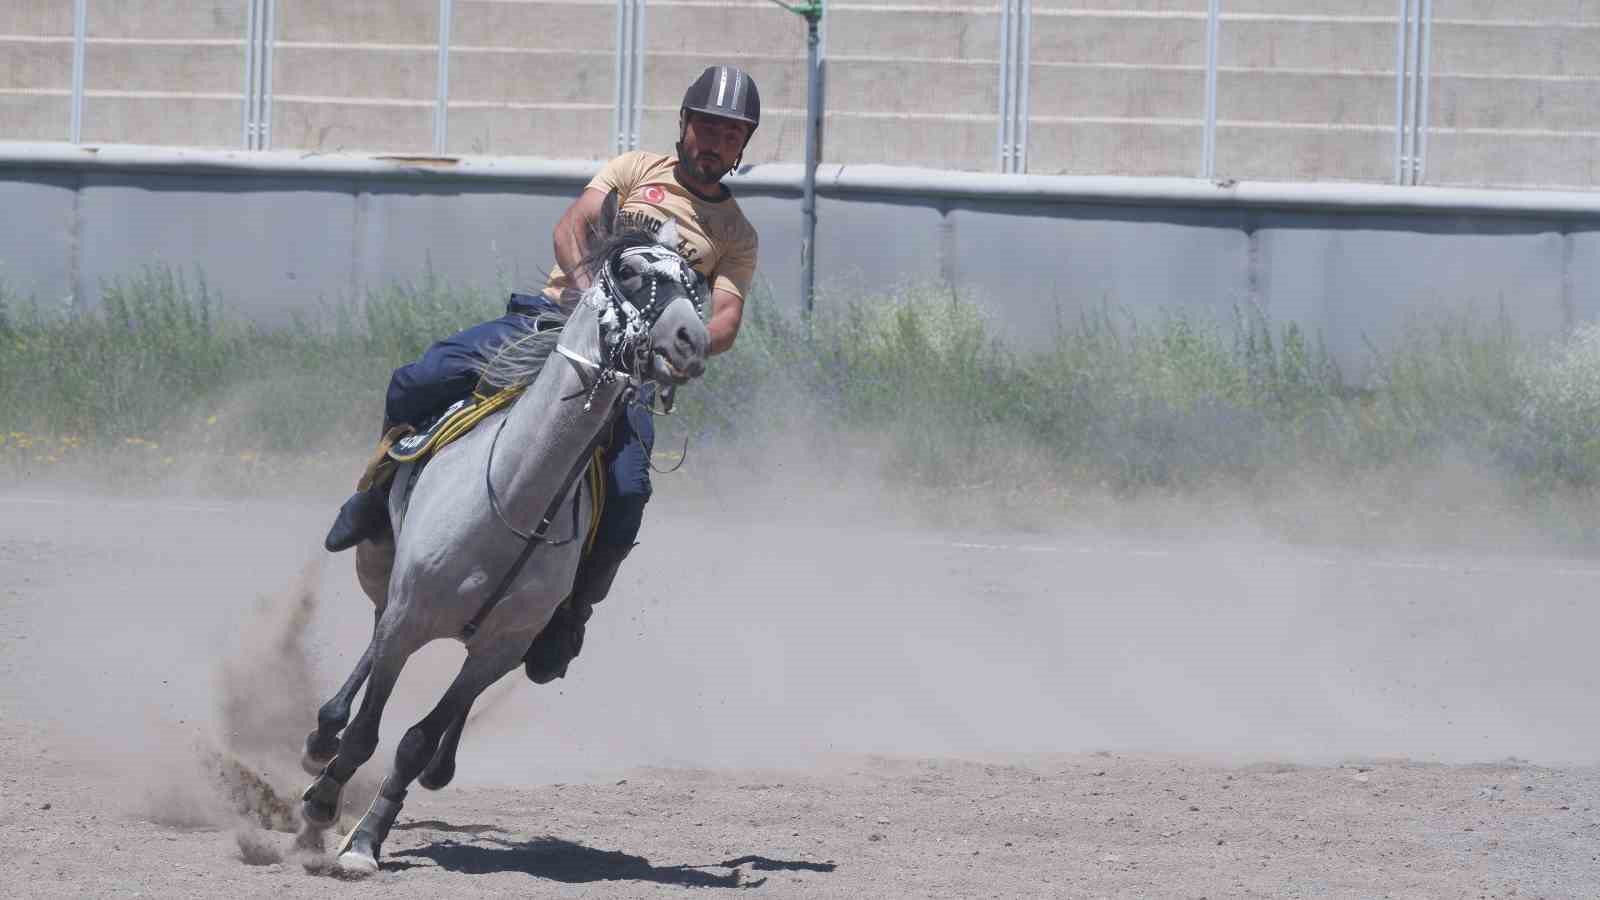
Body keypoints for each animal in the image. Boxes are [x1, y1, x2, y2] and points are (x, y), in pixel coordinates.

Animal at [296, 225, 707, 877]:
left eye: (698, 285)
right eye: (630, 272)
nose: (692, 339)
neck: (511, 499)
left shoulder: (500, 649)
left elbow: (414, 742)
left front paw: (366, 839)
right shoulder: (410, 616)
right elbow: (366, 730)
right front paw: (323, 804)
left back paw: (434, 765)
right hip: (380, 570)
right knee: (371, 638)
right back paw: (322, 736)